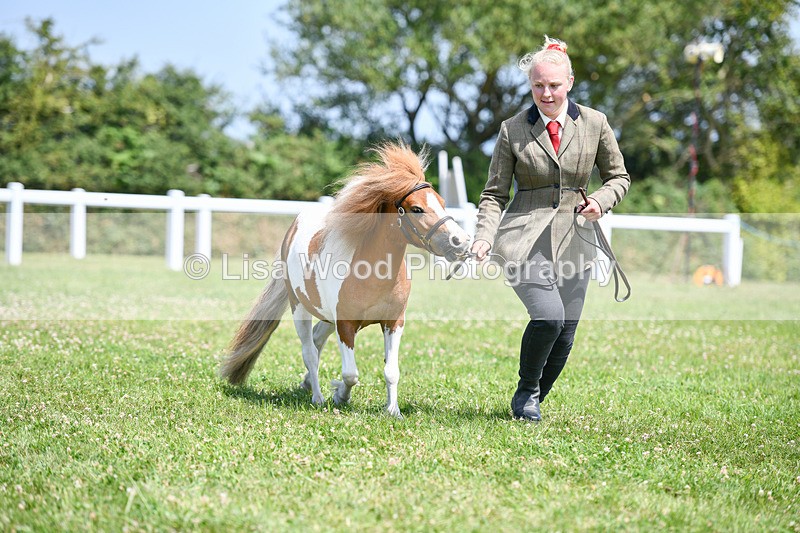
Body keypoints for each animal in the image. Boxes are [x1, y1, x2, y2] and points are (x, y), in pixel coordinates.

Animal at [220, 142, 471, 417]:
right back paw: (318, 397)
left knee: (317, 341)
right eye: (417, 208)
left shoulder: (393, 322)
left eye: (442, 203)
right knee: (309, 351)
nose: (460, 242)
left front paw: (393, 410)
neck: (373, 274)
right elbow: (350, 374)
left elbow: (391, 371)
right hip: (300, 310)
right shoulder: (346, 325)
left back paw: (308, 384)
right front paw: (340, 395)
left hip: (326, 317)